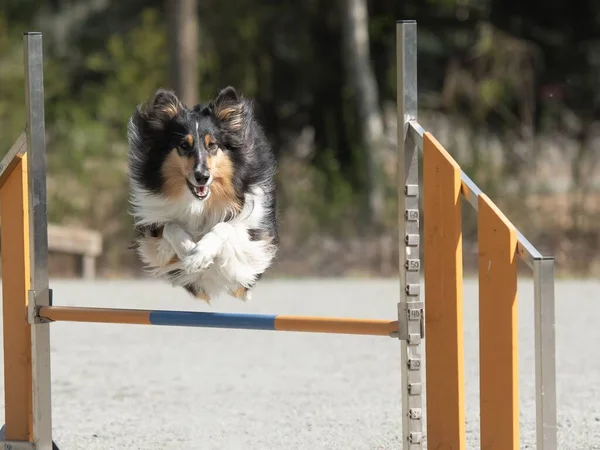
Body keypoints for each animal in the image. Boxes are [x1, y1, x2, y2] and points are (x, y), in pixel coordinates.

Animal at [126, 85, 278, 302]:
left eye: (212, 145)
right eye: (184, 146)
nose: (202, 177)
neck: (200, 203)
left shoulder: (253, 240)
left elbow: (226, 227)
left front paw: (200, 255)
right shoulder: (152, 237)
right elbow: (170, 226)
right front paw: (189, 251)